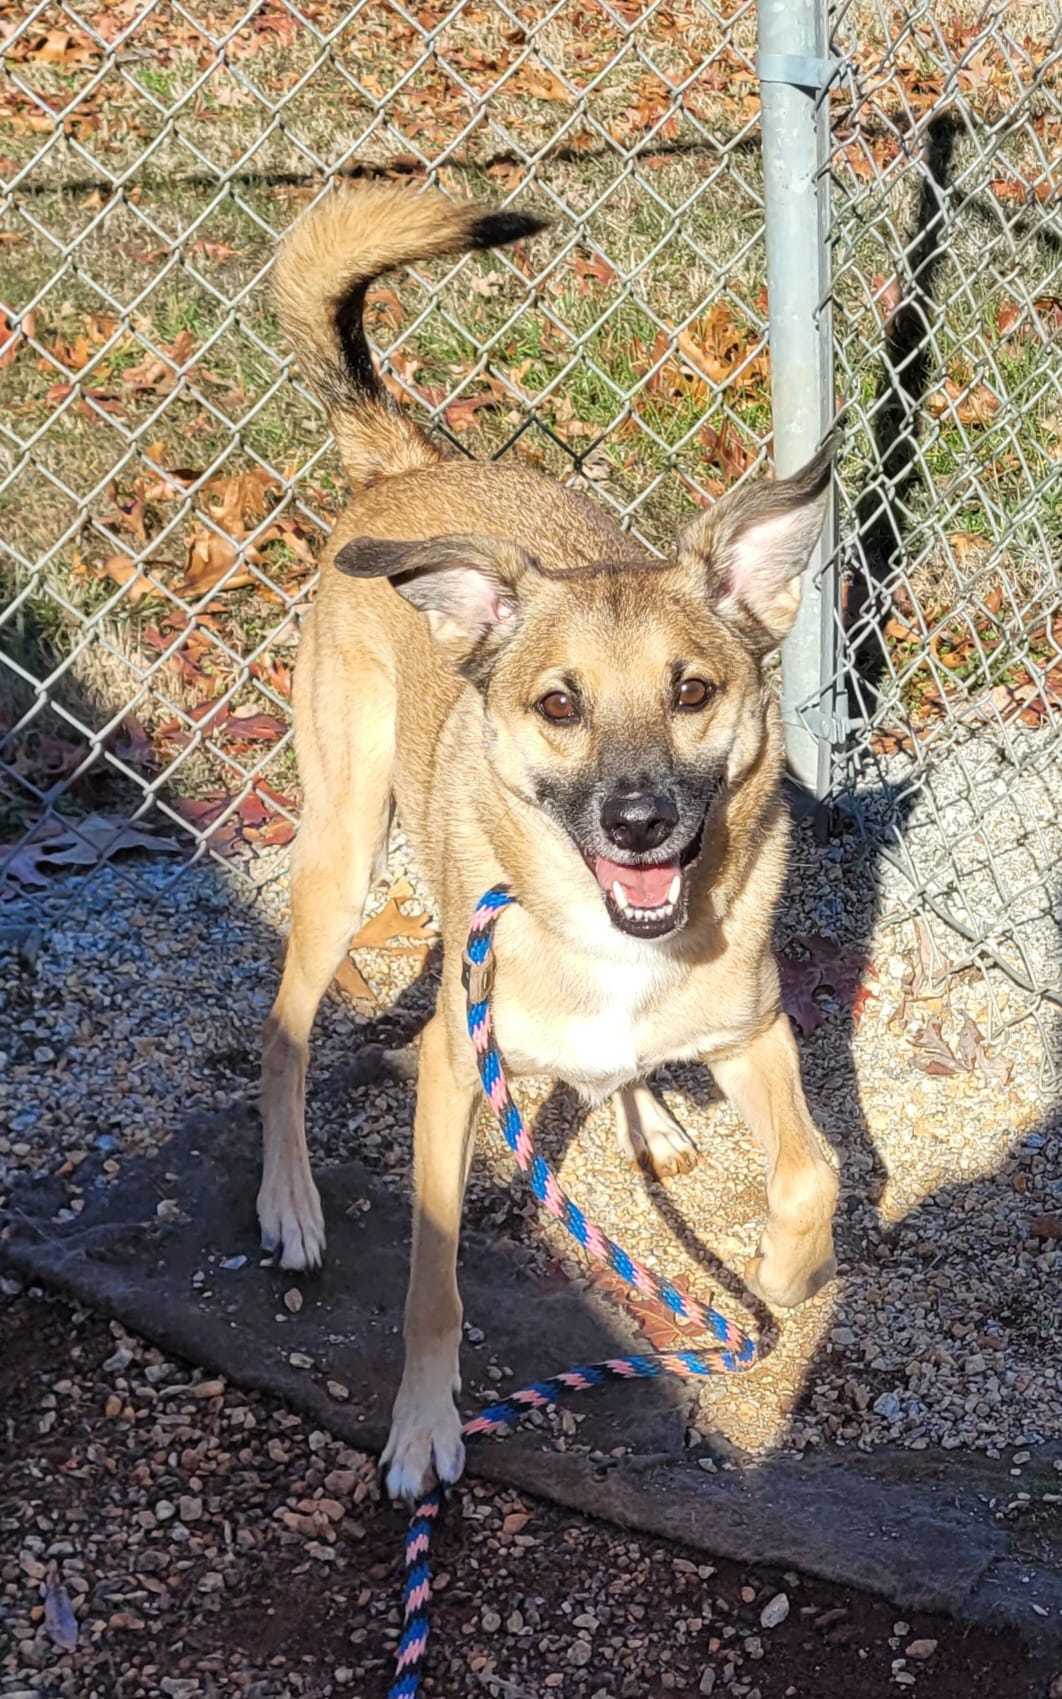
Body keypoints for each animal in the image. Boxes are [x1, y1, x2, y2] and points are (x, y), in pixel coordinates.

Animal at [256, 186, 836, 1501]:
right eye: (560, 704)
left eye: (692, 690)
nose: (639, 821)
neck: (614, 946)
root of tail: (410, 463)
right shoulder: (448, 1071)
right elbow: (432, 1285)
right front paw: (425, 1424)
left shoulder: (753, 1027)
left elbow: (813, 1170)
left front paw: (785, 1273)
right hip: (341, 851)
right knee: (280, 1036)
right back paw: (289, 1202)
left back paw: (647, 1114)